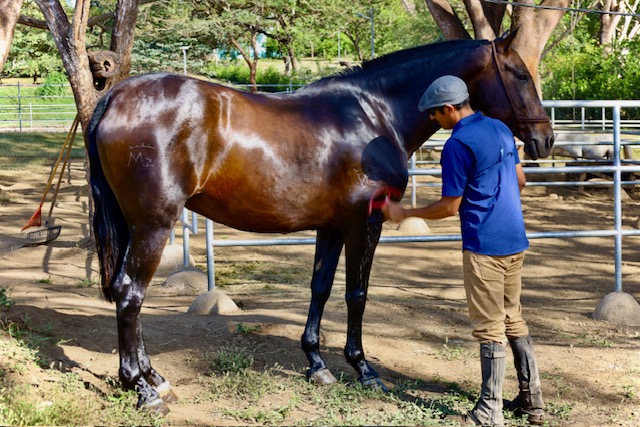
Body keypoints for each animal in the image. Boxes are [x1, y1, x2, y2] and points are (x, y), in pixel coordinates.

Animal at [86, 30, 556, 412]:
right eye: (520, 75)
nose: (545, 139)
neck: (373, 113)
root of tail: (115, 96)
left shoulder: (331, 227)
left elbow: (321, 288)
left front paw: (316, 364)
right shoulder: (364, 225)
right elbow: (356, 295)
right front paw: (363, 369)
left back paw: (154, 378)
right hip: (153, 225)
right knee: (129, 293)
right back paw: (142, 390)